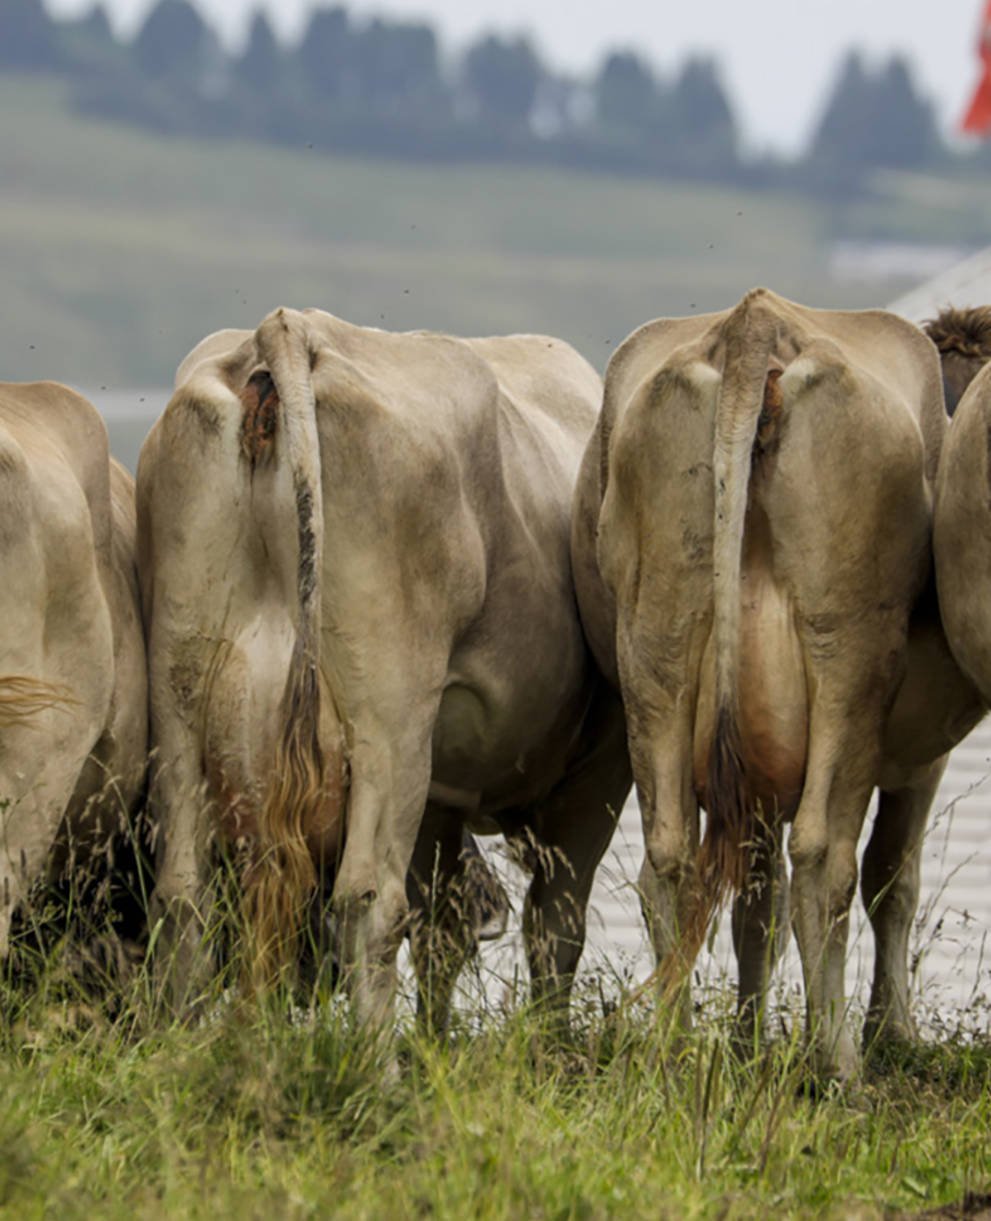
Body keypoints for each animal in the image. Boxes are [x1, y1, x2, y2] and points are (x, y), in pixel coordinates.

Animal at [135, 310, 629, 1035]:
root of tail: (292, 329)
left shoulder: (444, 799)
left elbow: (444, 924)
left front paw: (433, 1045)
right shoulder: (600, 771)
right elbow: (554, 927)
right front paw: (541, 1046)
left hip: (181, 699)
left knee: (186, 895)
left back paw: (187, 1040)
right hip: (388, 721)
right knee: (369, 903)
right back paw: (372, 1058)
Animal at [568, 285, 971, 1079]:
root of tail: (755, 323)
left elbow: (757, 903)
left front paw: (748, 1039)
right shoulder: (922, 753)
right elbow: (893, 878)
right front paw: (892, 1032)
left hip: (657, 642)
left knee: (670, 857)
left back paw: (673, 1049)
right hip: (846, 648)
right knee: (823, 856)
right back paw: (836, 1062)